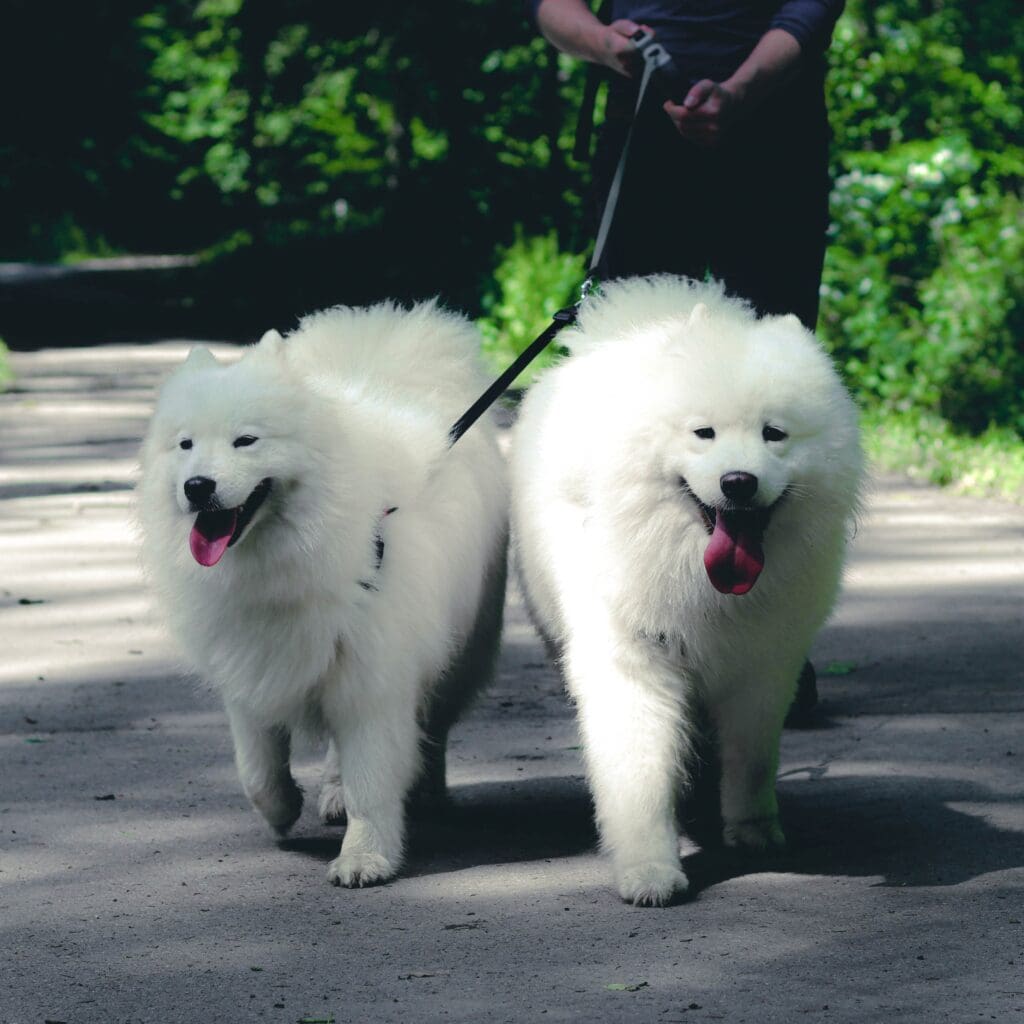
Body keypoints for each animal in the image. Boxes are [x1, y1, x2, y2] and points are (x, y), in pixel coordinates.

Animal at [138, 299, 505, 888]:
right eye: (185, 445)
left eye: (246, 441)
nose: (197, 486)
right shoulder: (251, 669)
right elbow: (256, 770)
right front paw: (282, 810)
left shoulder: (375, 678)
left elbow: (373, 780)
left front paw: (365, 859)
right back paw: (332, 793)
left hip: (461, 648)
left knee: (435, 727)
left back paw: (427, 791)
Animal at [512, 278, 864, 905]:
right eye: (704, 433)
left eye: (774, 434)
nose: (738, 482)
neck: (701, 580)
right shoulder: (634, 657)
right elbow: (638, 773)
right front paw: (650, 870)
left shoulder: (764, 664)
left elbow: (753, 758)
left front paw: (754, 829)